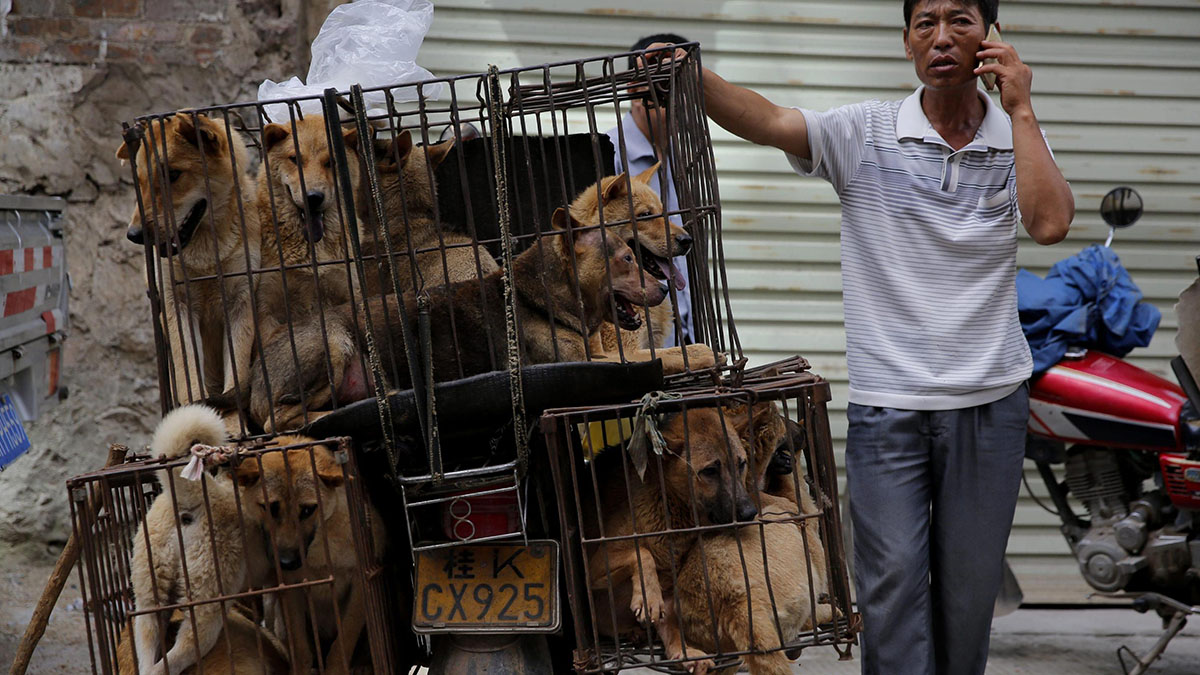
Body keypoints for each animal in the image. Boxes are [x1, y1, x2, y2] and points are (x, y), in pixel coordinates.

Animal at [115, 112, 261, 401]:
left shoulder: (240, 302)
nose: (134, 235)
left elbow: (236, 374)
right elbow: (188, 375)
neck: (205, 255)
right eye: (140, 181)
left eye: (173, 174)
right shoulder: (176, 303)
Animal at [241, 437, 391, 672]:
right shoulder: (291, 588)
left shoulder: (360, 586)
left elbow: (342, 643)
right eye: (270, 508)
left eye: (307, 510)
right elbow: (302, 650)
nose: (286, 562)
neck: (320, 548)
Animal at [583, 401, 758, 667]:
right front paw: (647, 596)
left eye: (741, 464)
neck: (670, 504)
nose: (750, 512)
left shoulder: (668, 586)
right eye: (709, 471)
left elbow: (672, 627)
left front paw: (683, 651)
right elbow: (641, 552)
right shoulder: (594, 566)